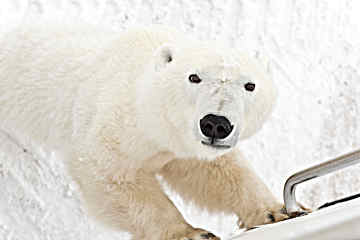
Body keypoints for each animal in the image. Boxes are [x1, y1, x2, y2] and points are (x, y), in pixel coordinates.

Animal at [0, 23, 286, 240]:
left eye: (250, 85)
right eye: (194, 77)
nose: (215, 123)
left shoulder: (182, 144)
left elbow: (215, 172)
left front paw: (276, 211)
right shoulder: (118, 123)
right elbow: (110, 174)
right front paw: (190, 233)